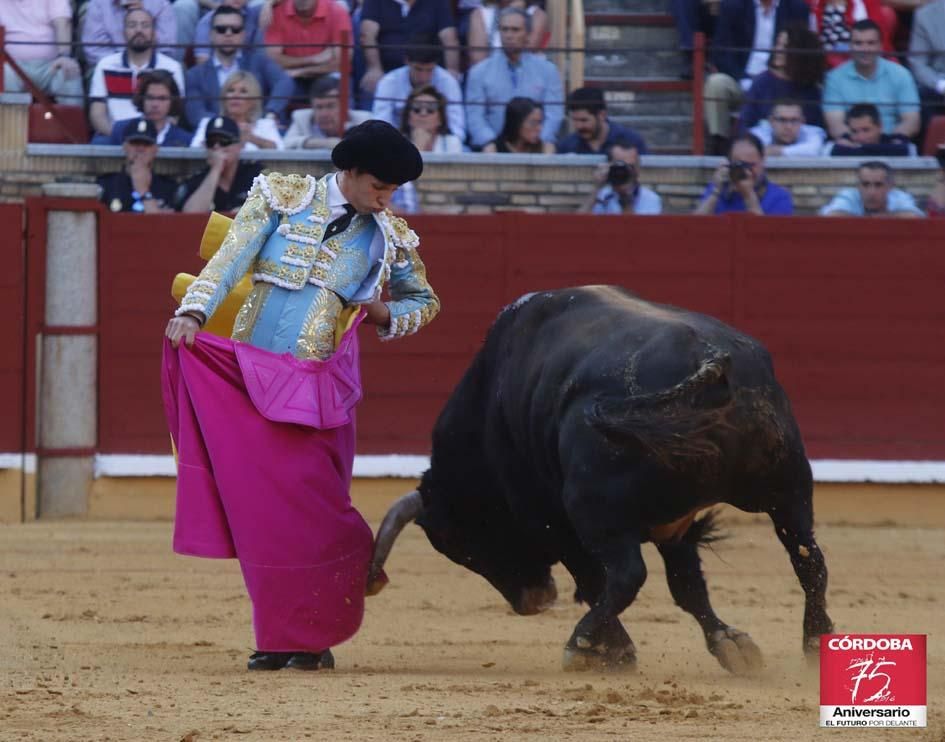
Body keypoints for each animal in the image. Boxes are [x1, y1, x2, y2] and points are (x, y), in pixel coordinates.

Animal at [368, 286, 832, 676]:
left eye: (459, 545)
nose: (534, 601)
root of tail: (709, 362)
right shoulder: (676, 527)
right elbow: (687, 587)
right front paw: (730, 644)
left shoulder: (554, 522)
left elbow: (596, 581)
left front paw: (614, 652)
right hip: (788, 486)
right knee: (808, 560)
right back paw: (815, 643)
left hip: (593, 511)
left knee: (626, 575)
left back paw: (580, 644)